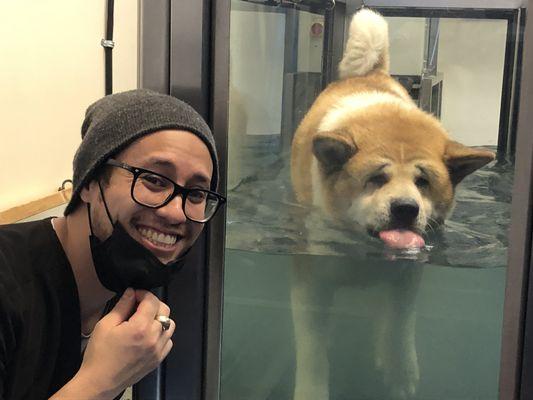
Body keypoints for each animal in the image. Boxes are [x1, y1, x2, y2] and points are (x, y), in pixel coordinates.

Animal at [288, 7, 492, 400]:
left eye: (423, 182)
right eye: (377, 179)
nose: (405, 208)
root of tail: (370, 74)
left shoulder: (407, 277)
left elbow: (399, 321)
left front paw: (399, 369)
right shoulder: (313, 282)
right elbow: (312, 348)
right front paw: (313, 388)